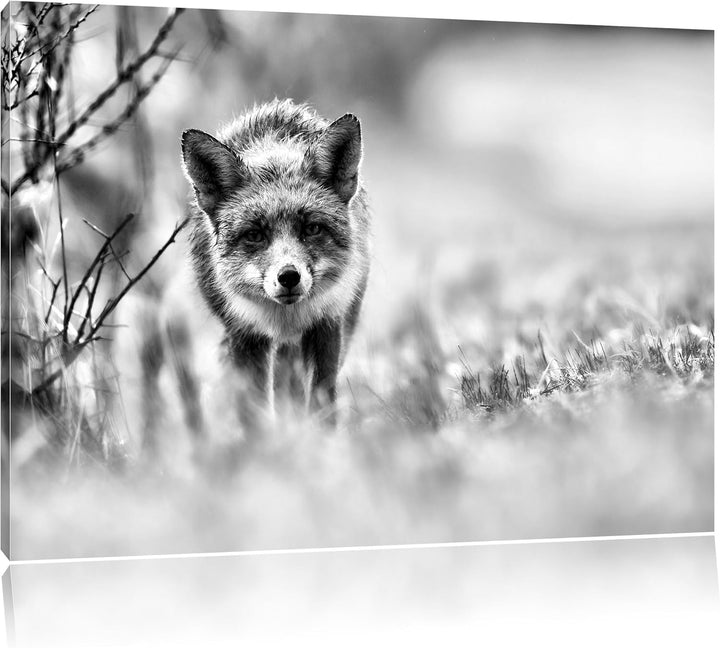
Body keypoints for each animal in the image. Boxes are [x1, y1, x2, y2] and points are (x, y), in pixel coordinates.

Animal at [180, 99, 370, 426]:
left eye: (312, 229)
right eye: (255, 235)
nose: (289, 277)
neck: (286, 318)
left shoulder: (327, 324)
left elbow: (321, 404)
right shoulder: (245, 334)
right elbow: (253, 412)